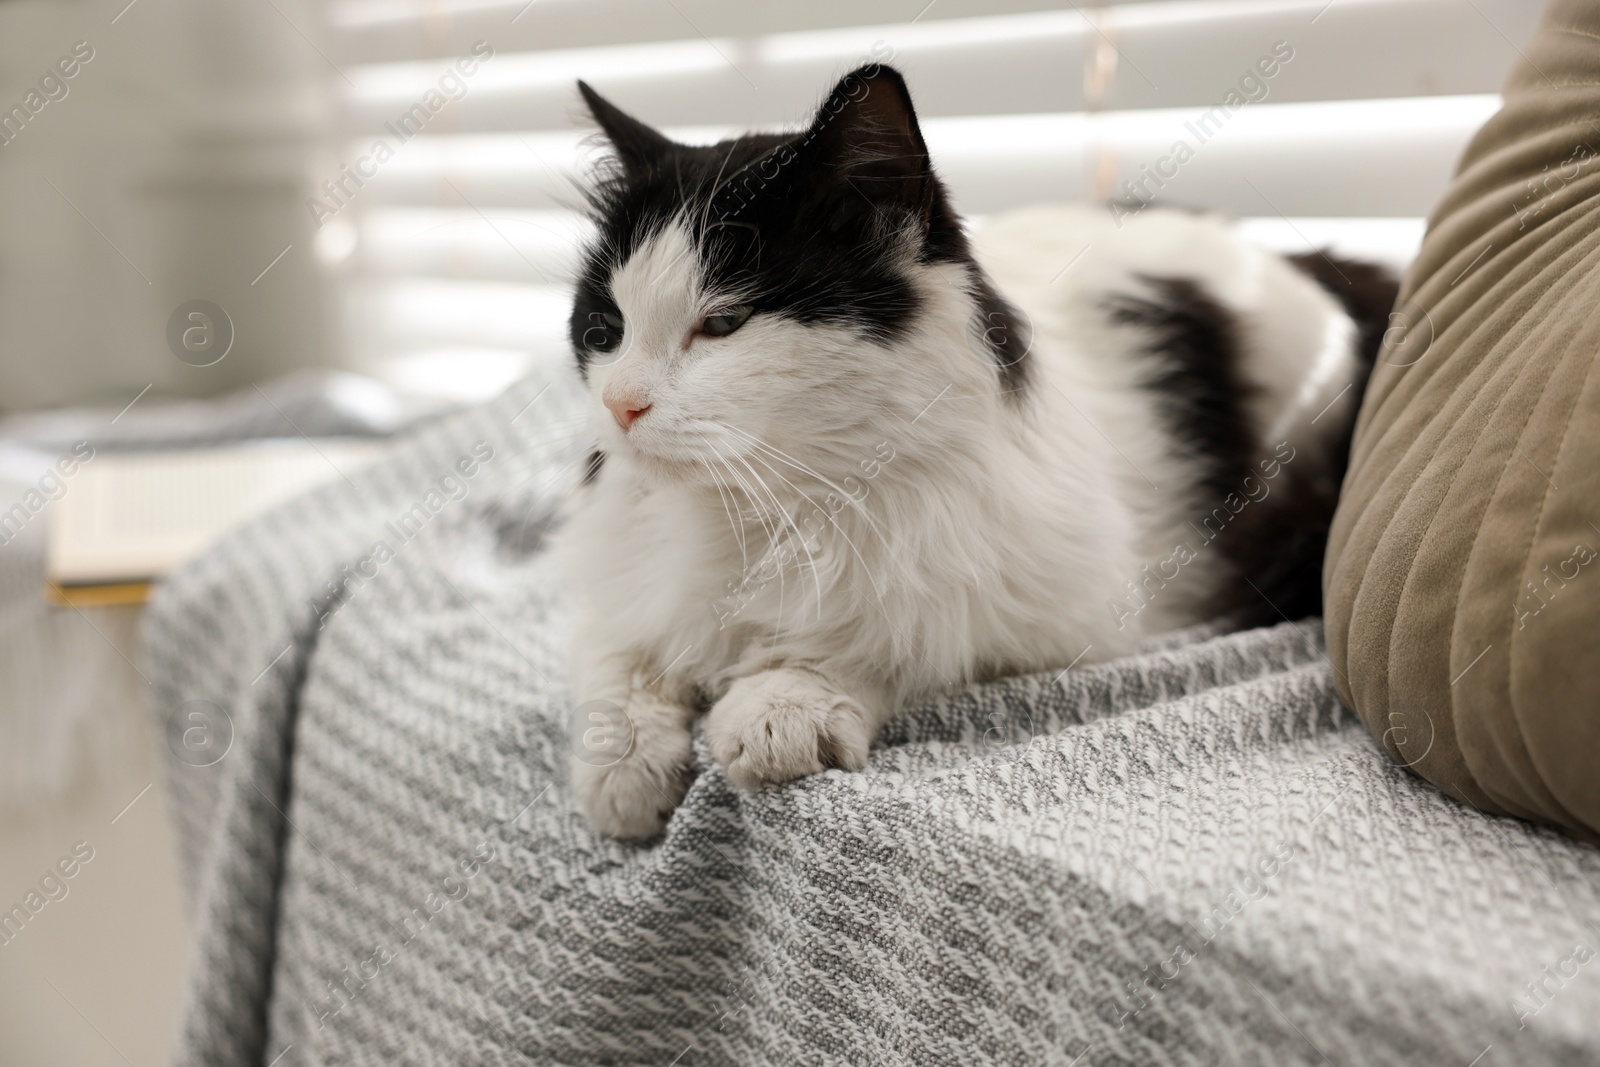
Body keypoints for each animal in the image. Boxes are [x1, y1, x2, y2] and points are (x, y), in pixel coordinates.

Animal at [556, 64, 1395, 844]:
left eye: (723, 324)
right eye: (606, 328)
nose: (620, 404)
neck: (755, 511)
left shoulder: (1044, 612)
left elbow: (889, 635)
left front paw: (784, 702)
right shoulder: (629, 584)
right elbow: (618, 660)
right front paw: (622, 769)